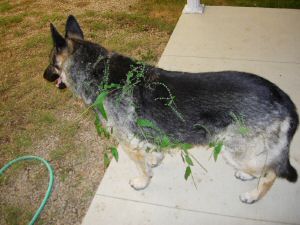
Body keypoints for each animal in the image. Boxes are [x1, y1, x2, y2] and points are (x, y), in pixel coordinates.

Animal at [44, 14, 298, 203]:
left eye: (50, 62)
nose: (44, 76)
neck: (98, 69)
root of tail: (283, 98)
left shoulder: (128, 144)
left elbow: (141, 167)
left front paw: (142, 181)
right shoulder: (143, 136)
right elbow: (152, 151)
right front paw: (155, 159)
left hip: (235, 151)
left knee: (271, 173)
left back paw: (253, 195)